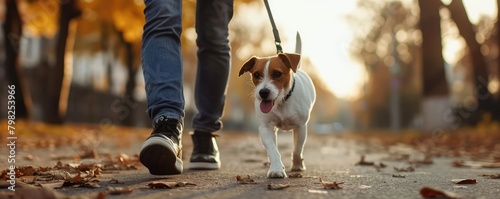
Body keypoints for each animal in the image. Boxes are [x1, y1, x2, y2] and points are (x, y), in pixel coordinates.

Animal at [239, 35, 316, 178]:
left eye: (277, 74)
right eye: (256, 74)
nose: (263, 92)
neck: (282, 102)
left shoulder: (301, 127)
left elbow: (297, 149)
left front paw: (297, 165)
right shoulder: (266, 127)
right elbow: (273, 150)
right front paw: (276, 169)